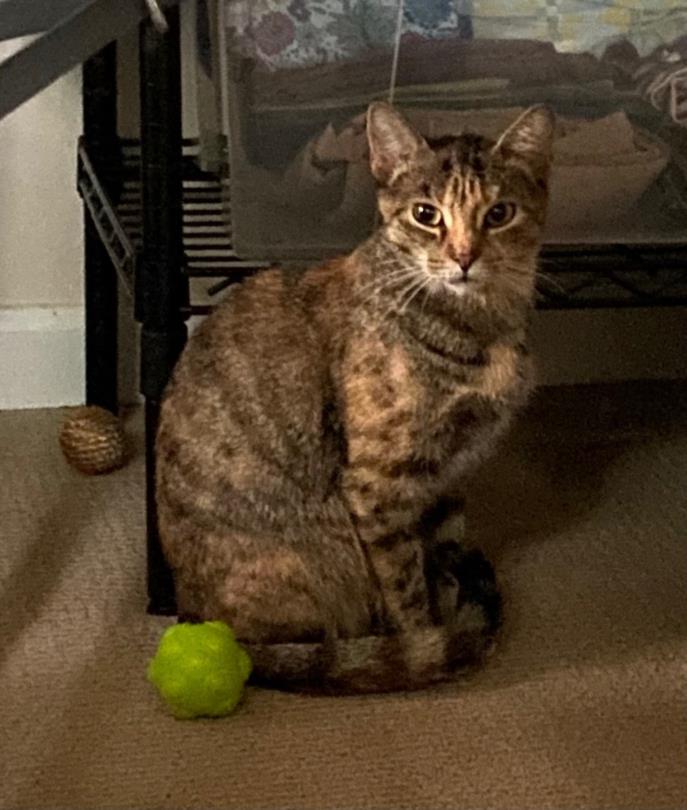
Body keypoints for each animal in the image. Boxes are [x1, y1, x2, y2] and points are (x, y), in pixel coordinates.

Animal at [156, 101, 552, 692]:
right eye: (426, 214)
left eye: (499, 213)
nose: (464, 257)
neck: (478, 324)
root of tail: (194, 613)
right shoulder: (379, 486)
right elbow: (407, 588)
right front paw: (426, 645)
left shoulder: (447, 476)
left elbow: (442, 554)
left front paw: (448, 614)